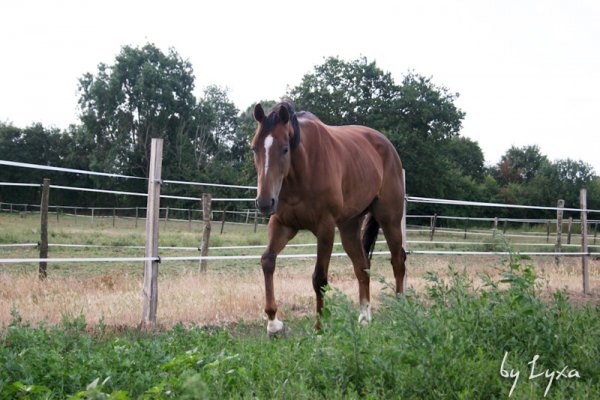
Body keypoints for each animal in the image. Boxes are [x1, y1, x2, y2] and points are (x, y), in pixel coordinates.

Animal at [251, 101, 406, 336]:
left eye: (285, 149)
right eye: (254, 148)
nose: (264, 202)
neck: (302, 171)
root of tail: (388, 147)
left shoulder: (325, 228)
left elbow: (319, 278)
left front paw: (319, 328)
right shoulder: (282, 224)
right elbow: (268, 261)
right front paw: (273, 324)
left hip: (390, 219)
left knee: (398, 261)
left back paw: (401, 311)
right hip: (349, 227)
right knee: (362, 267)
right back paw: (364, 318)